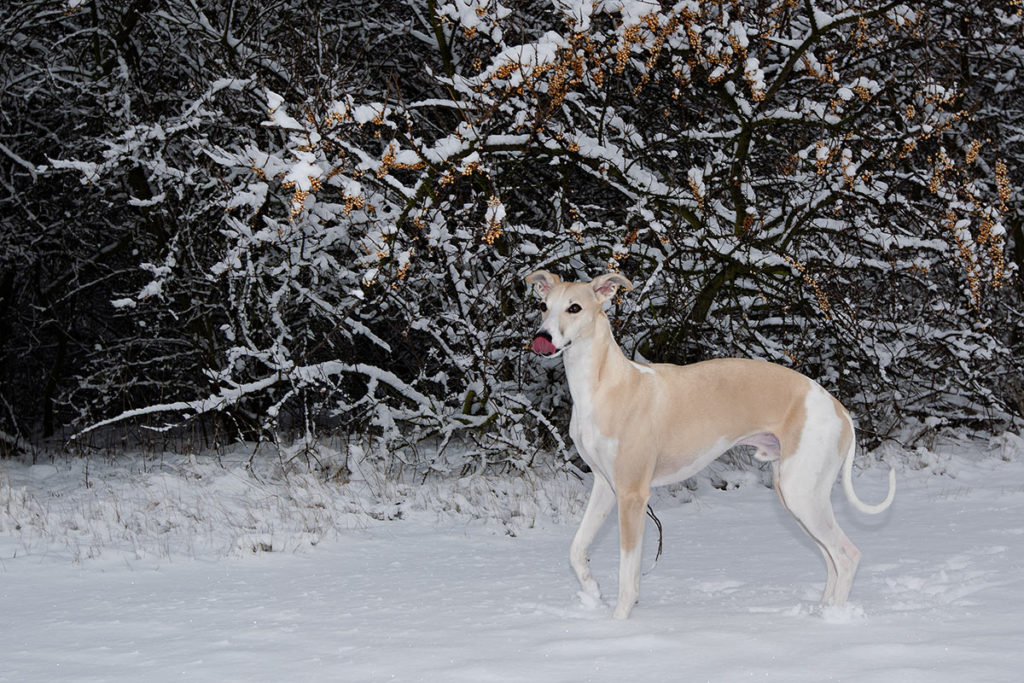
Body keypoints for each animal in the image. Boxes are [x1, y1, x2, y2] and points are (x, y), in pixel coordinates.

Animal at [528, 270, 897, 618]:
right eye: (543, 306)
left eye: (575, 307)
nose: (542, 338)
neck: (605, 384)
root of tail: (838, 408)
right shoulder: (605, 485)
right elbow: (576, 549)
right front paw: (591, 591)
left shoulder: (632, 494)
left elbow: (628, 575)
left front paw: (617, 623)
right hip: (797, 496)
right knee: (831, 557)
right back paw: (822, 611)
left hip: (802, 493)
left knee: (847, 555)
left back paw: (835, 619)